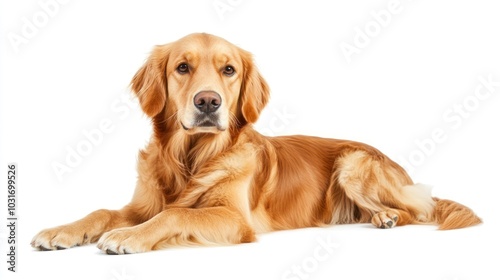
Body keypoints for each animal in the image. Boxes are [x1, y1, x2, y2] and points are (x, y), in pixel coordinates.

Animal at [30, 32, 480, 254]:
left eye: (228, 69)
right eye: (182, 67)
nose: (208, 102)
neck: (192, 158)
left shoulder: (234, 218)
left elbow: (176, 214)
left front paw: (127, 238)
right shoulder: (142, 205)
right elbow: (103, 211)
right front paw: (61, 231)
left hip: (352, 164)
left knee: (416, 210)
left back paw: (385, 216)